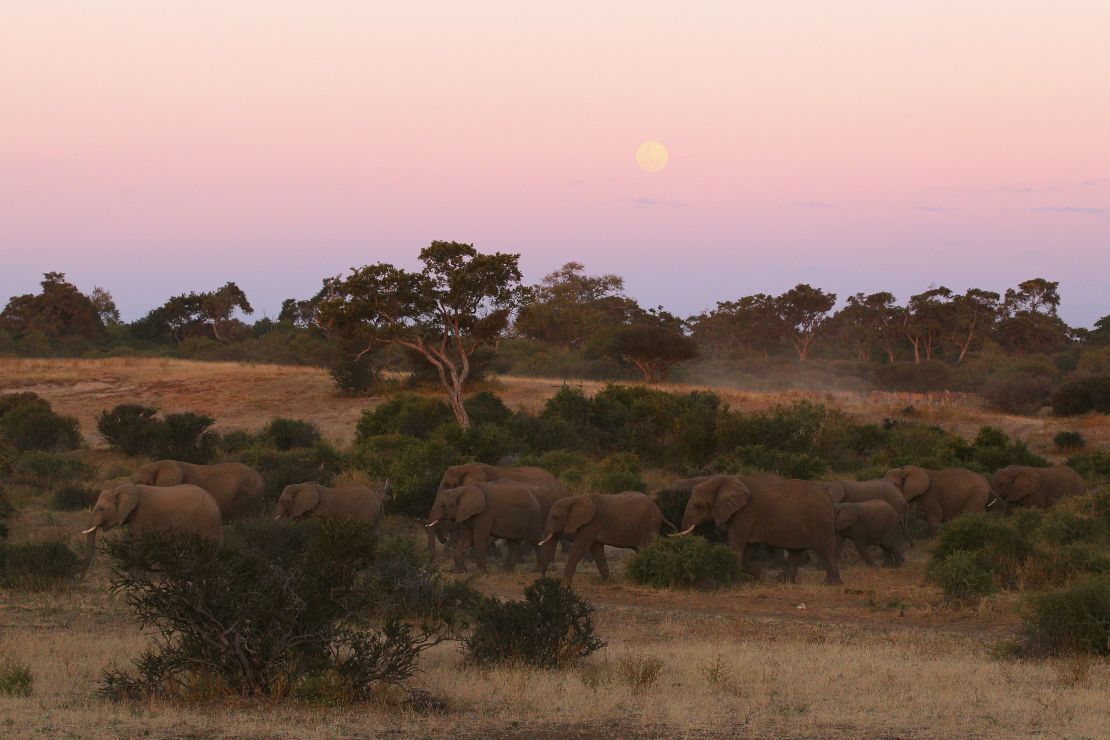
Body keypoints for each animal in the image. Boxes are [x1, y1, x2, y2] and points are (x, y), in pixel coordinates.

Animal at [81, 483, 222, 576]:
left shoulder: (143, 514)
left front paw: (137, 579)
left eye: (101, 509)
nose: (81, 579)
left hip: (208, 522)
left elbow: (138, 543)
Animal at [537, 492, 666, 585]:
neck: (575, 498)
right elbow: (597, 550)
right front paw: (606, 582)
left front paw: (564, 584)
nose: (543, 579)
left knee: (647, 550)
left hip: (649, 526)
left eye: (555, 517)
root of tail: (659, 510)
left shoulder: (592, 523)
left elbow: (580, 548)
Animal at [674, 474, 839, 585]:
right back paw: (783, 581)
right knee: (795, 552)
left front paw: (734, 583)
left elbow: (736, 546)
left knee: (828, 549)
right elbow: (748, 548)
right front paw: (759, 578)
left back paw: (830, 583)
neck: (723, 481)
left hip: (821, 522)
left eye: (698, 506)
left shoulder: (744, 514)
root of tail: (828, 496)